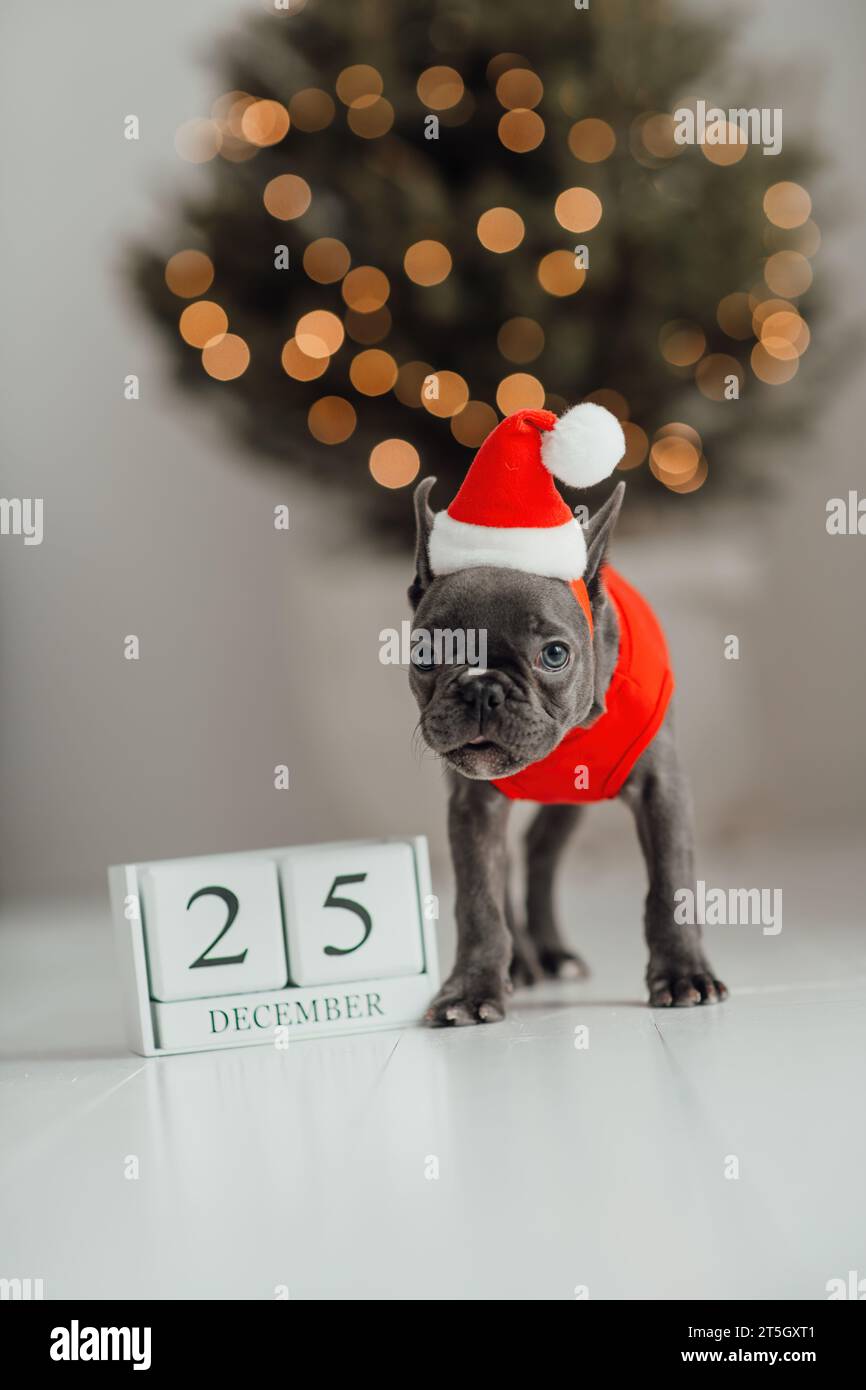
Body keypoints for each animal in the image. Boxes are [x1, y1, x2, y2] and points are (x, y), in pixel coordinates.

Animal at [408, 483, 728, 1028]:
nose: (481, 689)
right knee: (517, 860)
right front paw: (471, 989)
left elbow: (671, 884)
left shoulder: (662, 790)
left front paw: (683, 974)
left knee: (541, 850)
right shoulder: (474, 805)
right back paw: (523, 961)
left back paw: (552, 953)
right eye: (425, 654)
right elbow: (479, 900)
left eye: (554, 655)